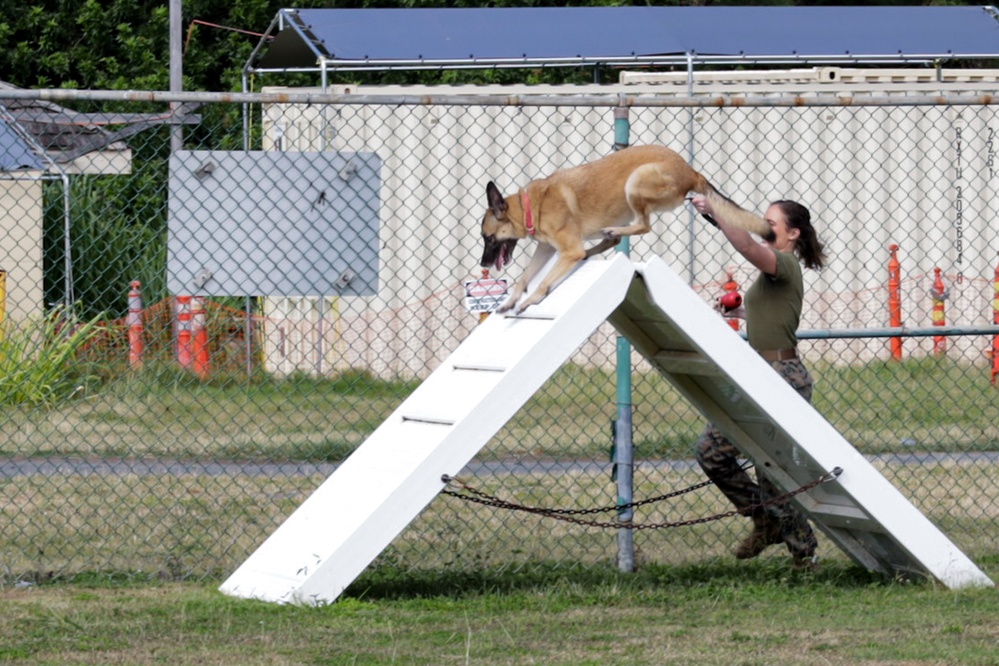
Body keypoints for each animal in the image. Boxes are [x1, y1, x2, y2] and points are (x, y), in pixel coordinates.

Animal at [480, 144, 776, 312]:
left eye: (488, 239)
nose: (483, 263)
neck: (529, 206)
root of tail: (691, 171)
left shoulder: (567, 250)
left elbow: (542, 282)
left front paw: (530, 301)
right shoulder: (546, 249)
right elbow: (523, 279)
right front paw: (510, 301)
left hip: (636, 181)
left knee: (644, 226)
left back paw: (612, 234)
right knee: (613, 239)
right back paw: (601, 243)